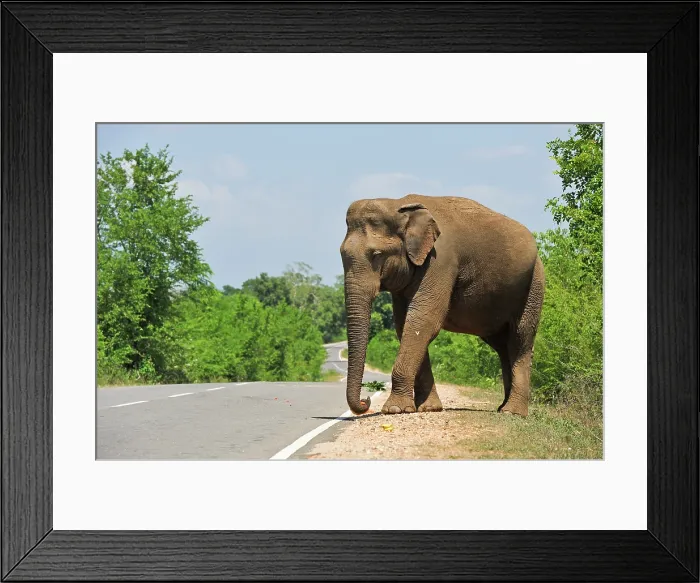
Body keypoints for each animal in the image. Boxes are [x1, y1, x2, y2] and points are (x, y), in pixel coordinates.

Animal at [339, 193, 545, 417]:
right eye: (341, 254)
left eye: (376, 255)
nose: (365, 401)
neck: (397, 204)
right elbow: (405, 324)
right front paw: (429, 408)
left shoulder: (440, 260)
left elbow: (423, 320)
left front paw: (395, 410)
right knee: (502, 344)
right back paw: (502, 408)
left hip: (534, 284)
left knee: (520, 338)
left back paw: (512, 412)